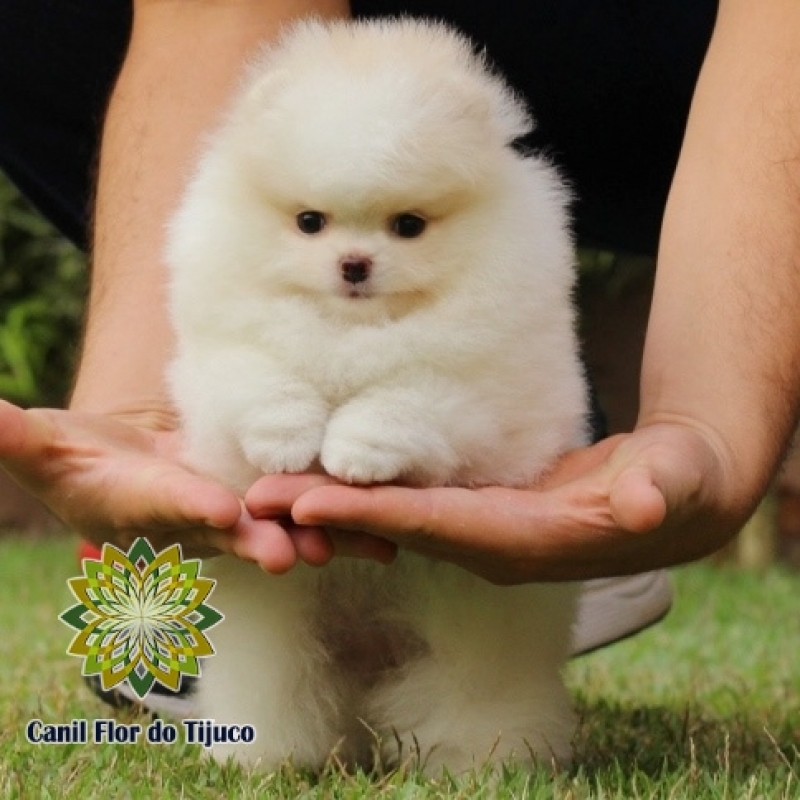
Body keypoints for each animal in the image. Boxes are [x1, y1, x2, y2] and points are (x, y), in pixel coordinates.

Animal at [167, 14, 588, 776]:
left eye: (409, 225)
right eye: (309, 222)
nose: (355, 264)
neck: (352, 331)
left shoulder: (488, 398)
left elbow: (410, 398)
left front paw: (356, 451)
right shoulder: (224, 358)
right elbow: (259, 381)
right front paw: (288, 439)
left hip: (470, 642)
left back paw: (482, 760)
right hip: (276, 631)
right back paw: (262, 756)